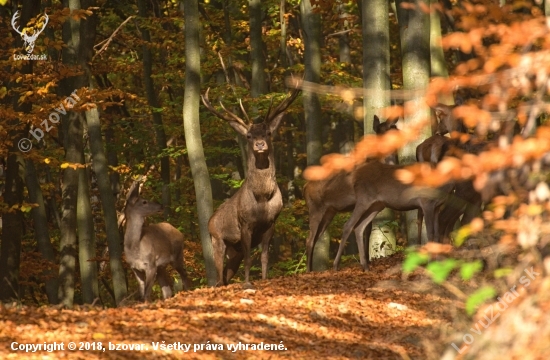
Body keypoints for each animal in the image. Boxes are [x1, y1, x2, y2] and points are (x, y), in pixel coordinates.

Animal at [202, 86, 300, 286]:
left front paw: (264, 279)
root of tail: (210, 221)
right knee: (219, 275)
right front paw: (248, 283)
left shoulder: (271, 223)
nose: (259, 144)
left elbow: (264, 257)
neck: (262, 197)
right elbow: (249, 258)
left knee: (226, 275)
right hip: (217, 239)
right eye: (248, 136)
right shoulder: (245, 224)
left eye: (268, 133)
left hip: (234, 251)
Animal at [306, 116, 402, 272]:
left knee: (315, 238)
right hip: (315, 208)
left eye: (394, 127)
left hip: (329, 212)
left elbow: (367, 230)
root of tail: (305, 187)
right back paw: (309, 270)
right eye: (384, 129)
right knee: (309, 239)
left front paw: (367, 261)